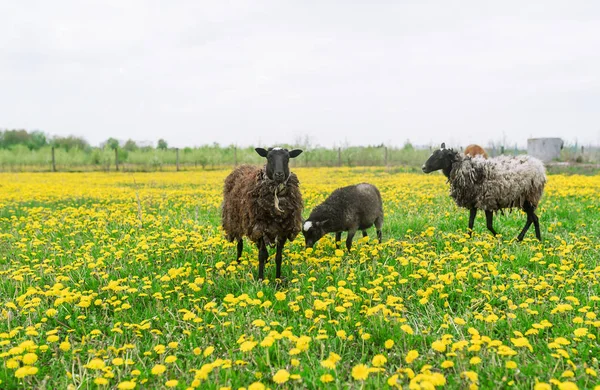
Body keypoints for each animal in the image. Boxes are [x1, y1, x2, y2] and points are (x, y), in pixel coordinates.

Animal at [221, 147, 304, 280]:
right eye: (268, 157)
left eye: (287, 158)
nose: (279, 174)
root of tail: (241, 166)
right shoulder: (259, 227)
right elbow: (261, 254)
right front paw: (261, 278)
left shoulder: (283, 230)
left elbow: (278, 257)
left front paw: (277, 279)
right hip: (235, 221)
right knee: (240, 245)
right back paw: (237, 264)